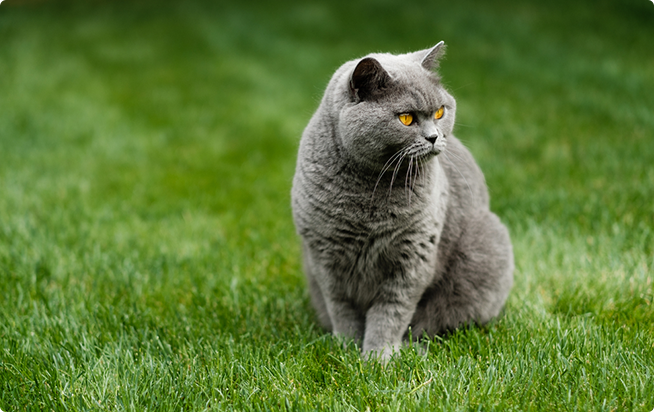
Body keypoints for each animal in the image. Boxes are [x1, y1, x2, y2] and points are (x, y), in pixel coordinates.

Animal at [294, 41, 516, 360]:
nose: (434, 137)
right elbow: (342, 309)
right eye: (406, 118)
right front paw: (346, 349)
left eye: (440, 112)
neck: (372, 189)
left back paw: (413, 348)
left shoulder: (412, 256)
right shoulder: (326, 258)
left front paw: (378, 358)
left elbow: (391, 311)